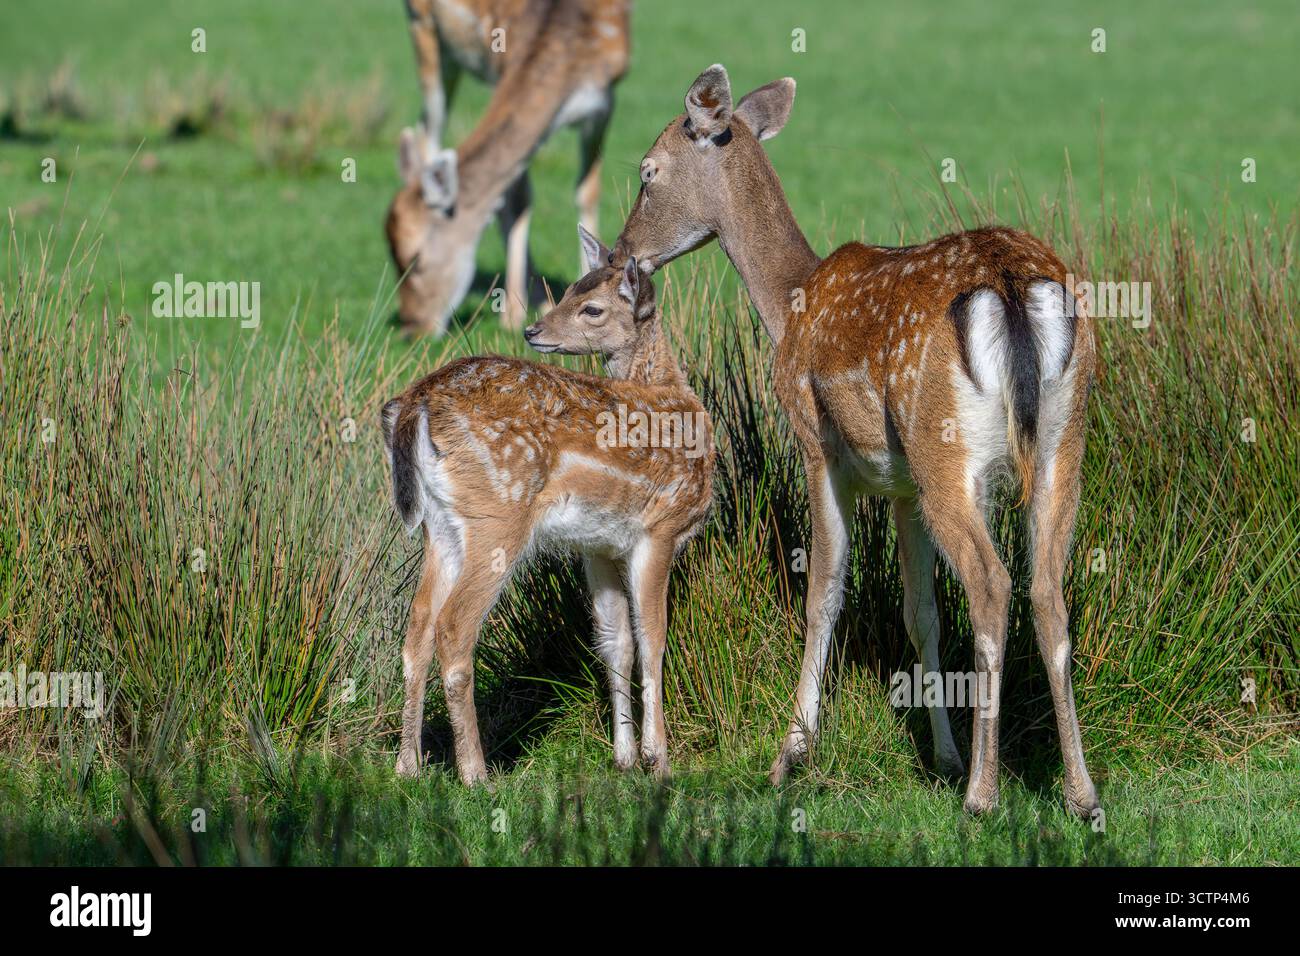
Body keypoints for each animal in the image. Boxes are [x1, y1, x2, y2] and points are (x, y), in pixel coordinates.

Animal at [382, 225, 714, 783]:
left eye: (591, 307)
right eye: (567, 293)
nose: (534, 329)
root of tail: (414, 405)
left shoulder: (599, 544)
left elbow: (616, 641)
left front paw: (624, 758)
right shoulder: (661, 527)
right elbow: (654, 639)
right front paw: (660, 760)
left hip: (440, 525)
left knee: (417, 628)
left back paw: (409, 765)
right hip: (499, 513)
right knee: (454, 627)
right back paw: (476, 774)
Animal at [387, 0, 630, 336]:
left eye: (416, 259)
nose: (412, 327)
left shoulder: (604, 103)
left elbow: (586, 192)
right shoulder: (500, 68)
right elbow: (517, 200)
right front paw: (513, 314)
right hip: (422, 27)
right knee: (428, 134)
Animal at [610, 64, 1101, 817]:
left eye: (648, 170)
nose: (622, 252)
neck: (788, 305)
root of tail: (1011, 286)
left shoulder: (816, 444)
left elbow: (825, 592)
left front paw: (789, 756)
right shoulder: (902, 486)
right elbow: (919, 611)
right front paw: (941, 755)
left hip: (945, 447)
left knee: (992, 584)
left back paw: (982, 795)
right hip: (1058, 443)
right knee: (1047, 587)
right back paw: (1080, 793)